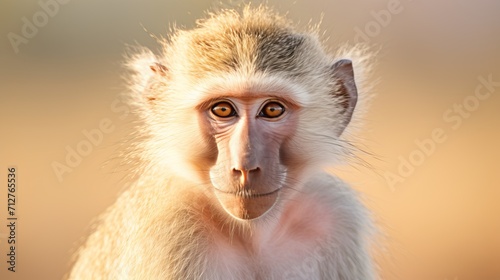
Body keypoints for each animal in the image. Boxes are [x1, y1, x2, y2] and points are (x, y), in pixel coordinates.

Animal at [68, 4, 376, 280]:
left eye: (272, 110)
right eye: (223, 110)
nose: (245, 167)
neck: (254, 236)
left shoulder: (335, 216)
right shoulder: (167, 225)